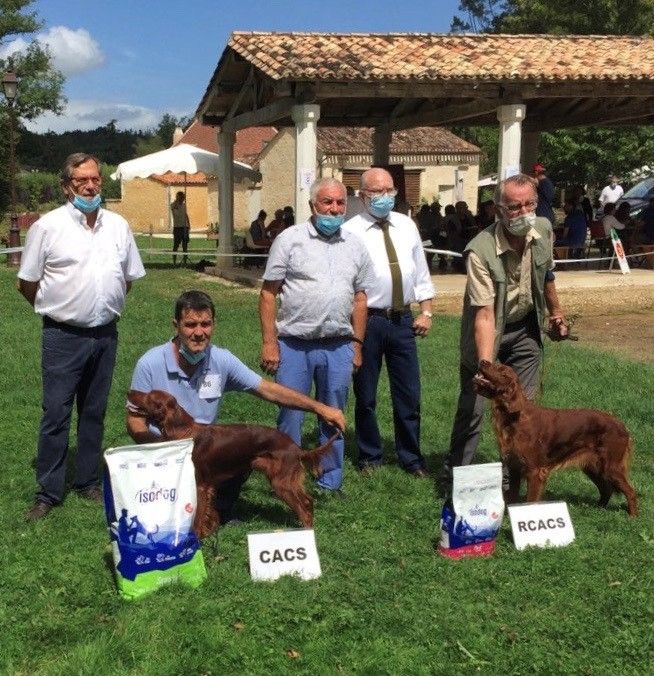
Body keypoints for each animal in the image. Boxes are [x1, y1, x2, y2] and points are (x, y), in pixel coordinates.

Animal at [127, 390, 338, 540]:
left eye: (149, 396)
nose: (129, 391)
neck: (186, 432)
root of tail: (297, 448)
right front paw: (210, 529)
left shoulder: (201, 485)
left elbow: (198, 515)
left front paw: (196, 539)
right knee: (308, 501)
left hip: (281, 482)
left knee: (304, 504)